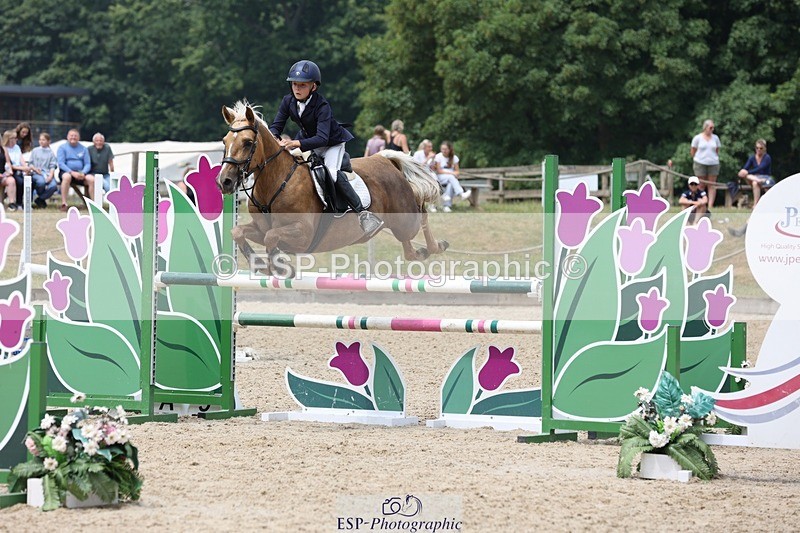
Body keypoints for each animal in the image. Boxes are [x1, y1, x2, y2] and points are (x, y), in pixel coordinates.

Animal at [218, 100, 449, 276]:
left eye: (248, 143)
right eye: (224, 141)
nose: (224, 181)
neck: (277, 183)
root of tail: (385, 159)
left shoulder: (303, 234)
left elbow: (271, 237)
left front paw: (281, 268)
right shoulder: (261, 227)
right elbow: (238, 231)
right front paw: (261, 265)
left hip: (405, 218)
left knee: (422, 215)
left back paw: (437, 246)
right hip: (399, 223)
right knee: (409, 247)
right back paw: (421, 252)